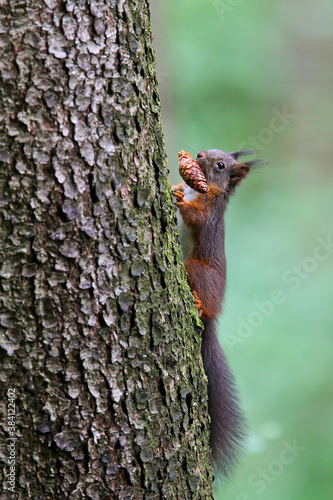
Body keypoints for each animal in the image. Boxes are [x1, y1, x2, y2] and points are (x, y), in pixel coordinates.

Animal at [171, 147, 264, 476]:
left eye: (221, 165)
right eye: (209, 152)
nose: (198, 154)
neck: (203, 189)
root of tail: (213, 316)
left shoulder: (209, 212)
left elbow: (195, 218)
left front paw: (179, 198)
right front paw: (174, 186)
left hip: (195, 269)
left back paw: (199, 305)